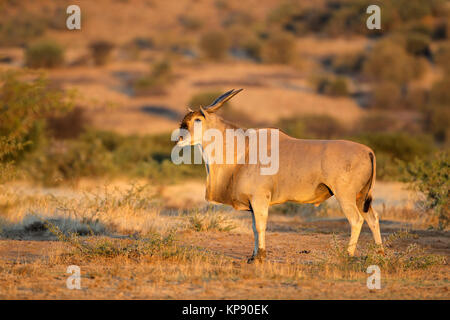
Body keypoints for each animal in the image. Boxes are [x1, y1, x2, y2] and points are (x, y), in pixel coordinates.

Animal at [176, 89, 384, 262]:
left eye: (197, 119)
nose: (179, 137)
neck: (243, 150)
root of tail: (368, 151)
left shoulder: (260, 199)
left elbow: (261, 226)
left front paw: (260, 257)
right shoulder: (253, 204)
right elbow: (254, 227)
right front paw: (253, 256)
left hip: (345, 196)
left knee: (356, 220)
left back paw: (348, 255)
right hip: (360, 198)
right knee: (372, 218)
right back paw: (379, 253)